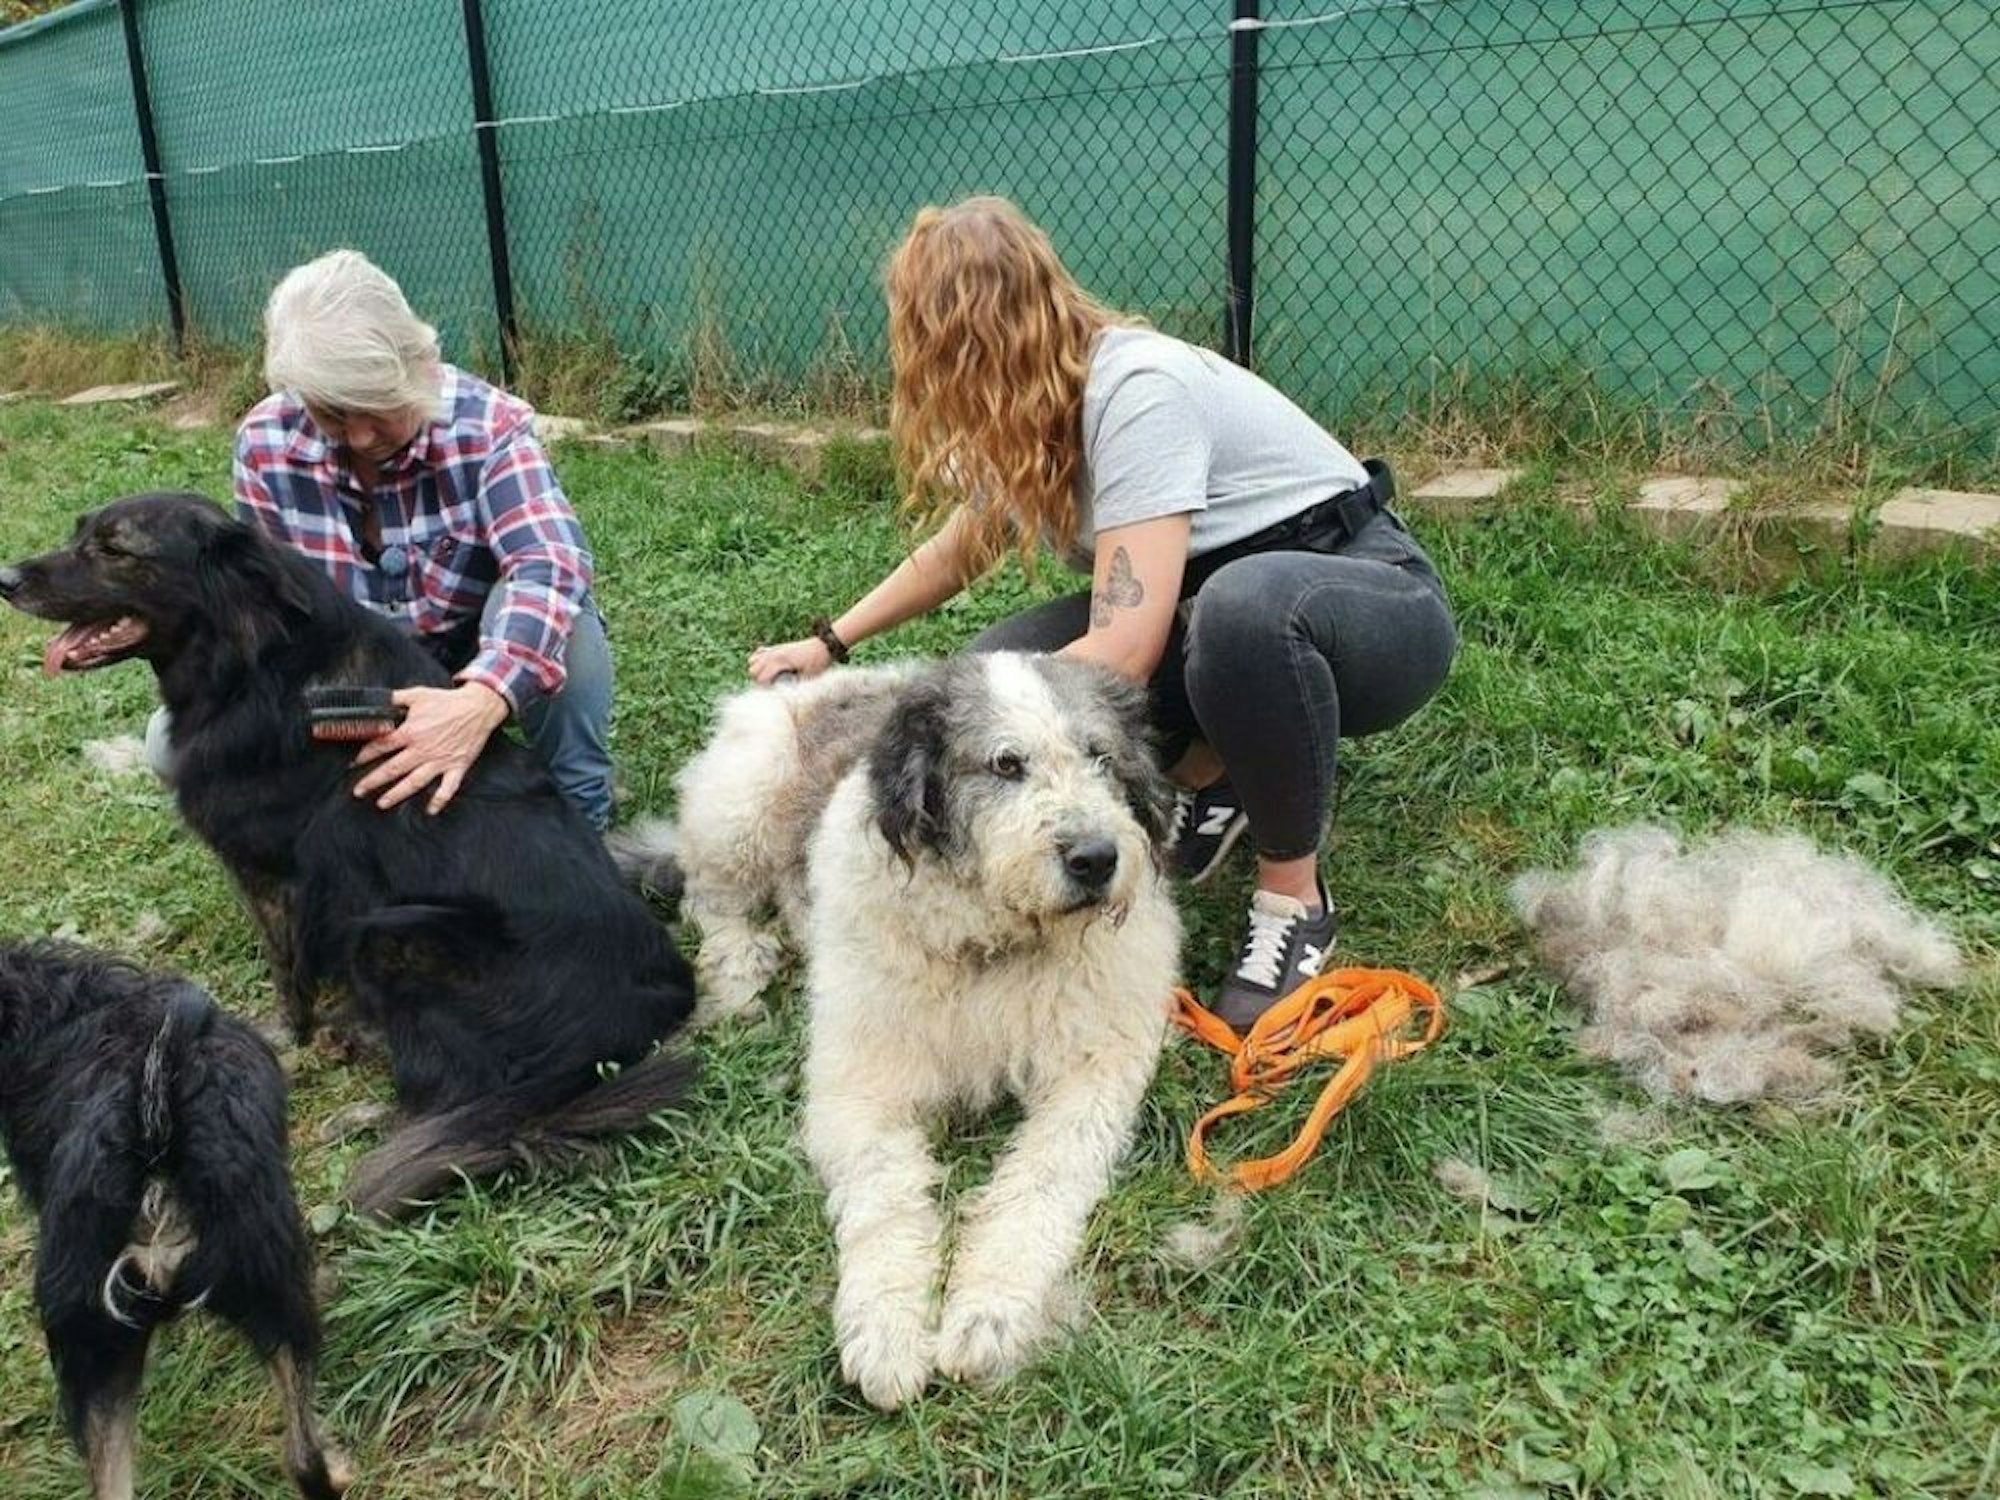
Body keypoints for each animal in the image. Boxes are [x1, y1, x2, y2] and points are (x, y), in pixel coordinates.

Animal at [0, 493, 696, 1217]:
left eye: (114, 549)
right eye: (81, 533)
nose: (6, 580)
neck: (256, 663)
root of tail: (662, 999)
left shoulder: (277, 878)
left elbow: (288, 973)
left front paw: (288, 1041)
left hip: (394, 936)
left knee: (467, 1102)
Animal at [620, 654, 1182, 1407]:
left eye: (1100, 757)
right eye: (1006, 764)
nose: (1096, 858)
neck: (995, 948)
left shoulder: (1095, 1074)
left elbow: (1042, 1182)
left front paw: (988, 1314)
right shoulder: (860, 1087)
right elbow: (884, 1198)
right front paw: (885, 1332)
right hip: (738, 806)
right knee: (711, 896)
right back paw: (740, 967)